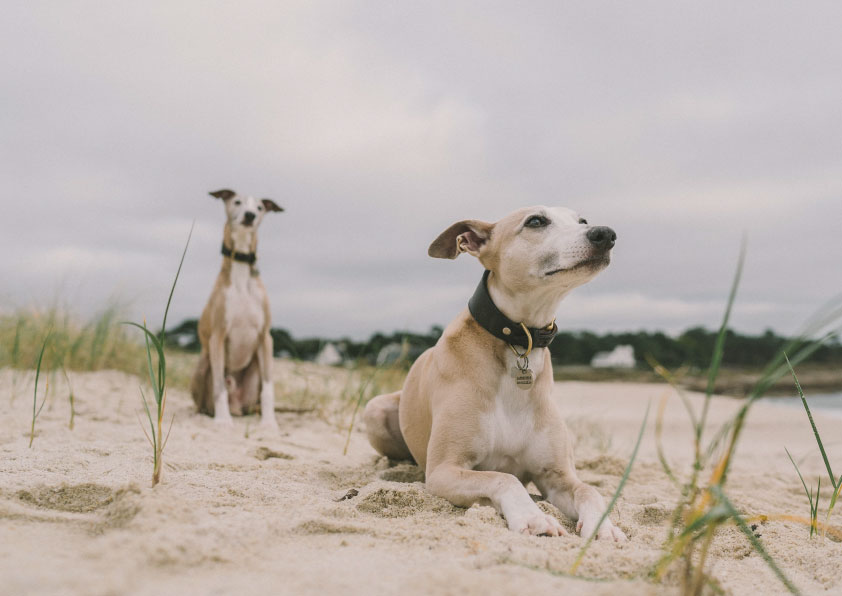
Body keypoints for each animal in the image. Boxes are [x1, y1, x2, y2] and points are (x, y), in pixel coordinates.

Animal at [189, 189, 282, 426]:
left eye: (260, 207)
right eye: (237, 202)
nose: (250, 215)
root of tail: (236, 405)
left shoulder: (265, 337)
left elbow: (269, 390)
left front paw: (269, 423)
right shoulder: (218, 336)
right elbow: (219, 386)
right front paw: (223, 421)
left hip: (254, 372)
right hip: (203, 362)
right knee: (205, 400)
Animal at [360, 206, 624, 540]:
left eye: (583, 221)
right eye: (536, 221)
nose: (606, 234)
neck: (518, 341)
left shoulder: (556, 475)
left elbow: (590, 490)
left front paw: (604, 527)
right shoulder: (445, 470)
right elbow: (503, 477)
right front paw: (533, 518)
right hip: (375, 410)